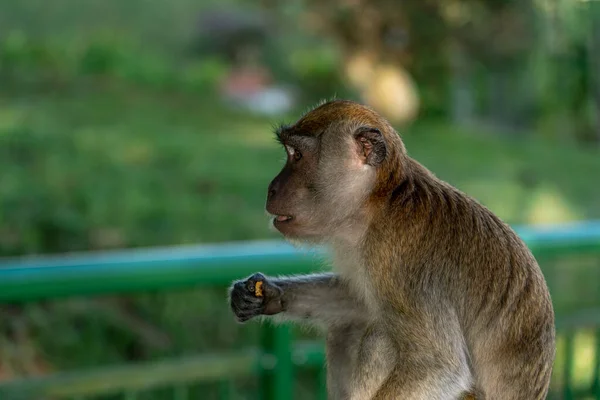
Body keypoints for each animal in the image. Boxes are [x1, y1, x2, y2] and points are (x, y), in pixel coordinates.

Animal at [229, 100, 552, 400]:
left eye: (297, 156)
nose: (271, 188)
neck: (378, 203)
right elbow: (356, 301)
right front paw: (267, 295)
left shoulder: (396, 255)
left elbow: (438, 366)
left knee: (382, 337)